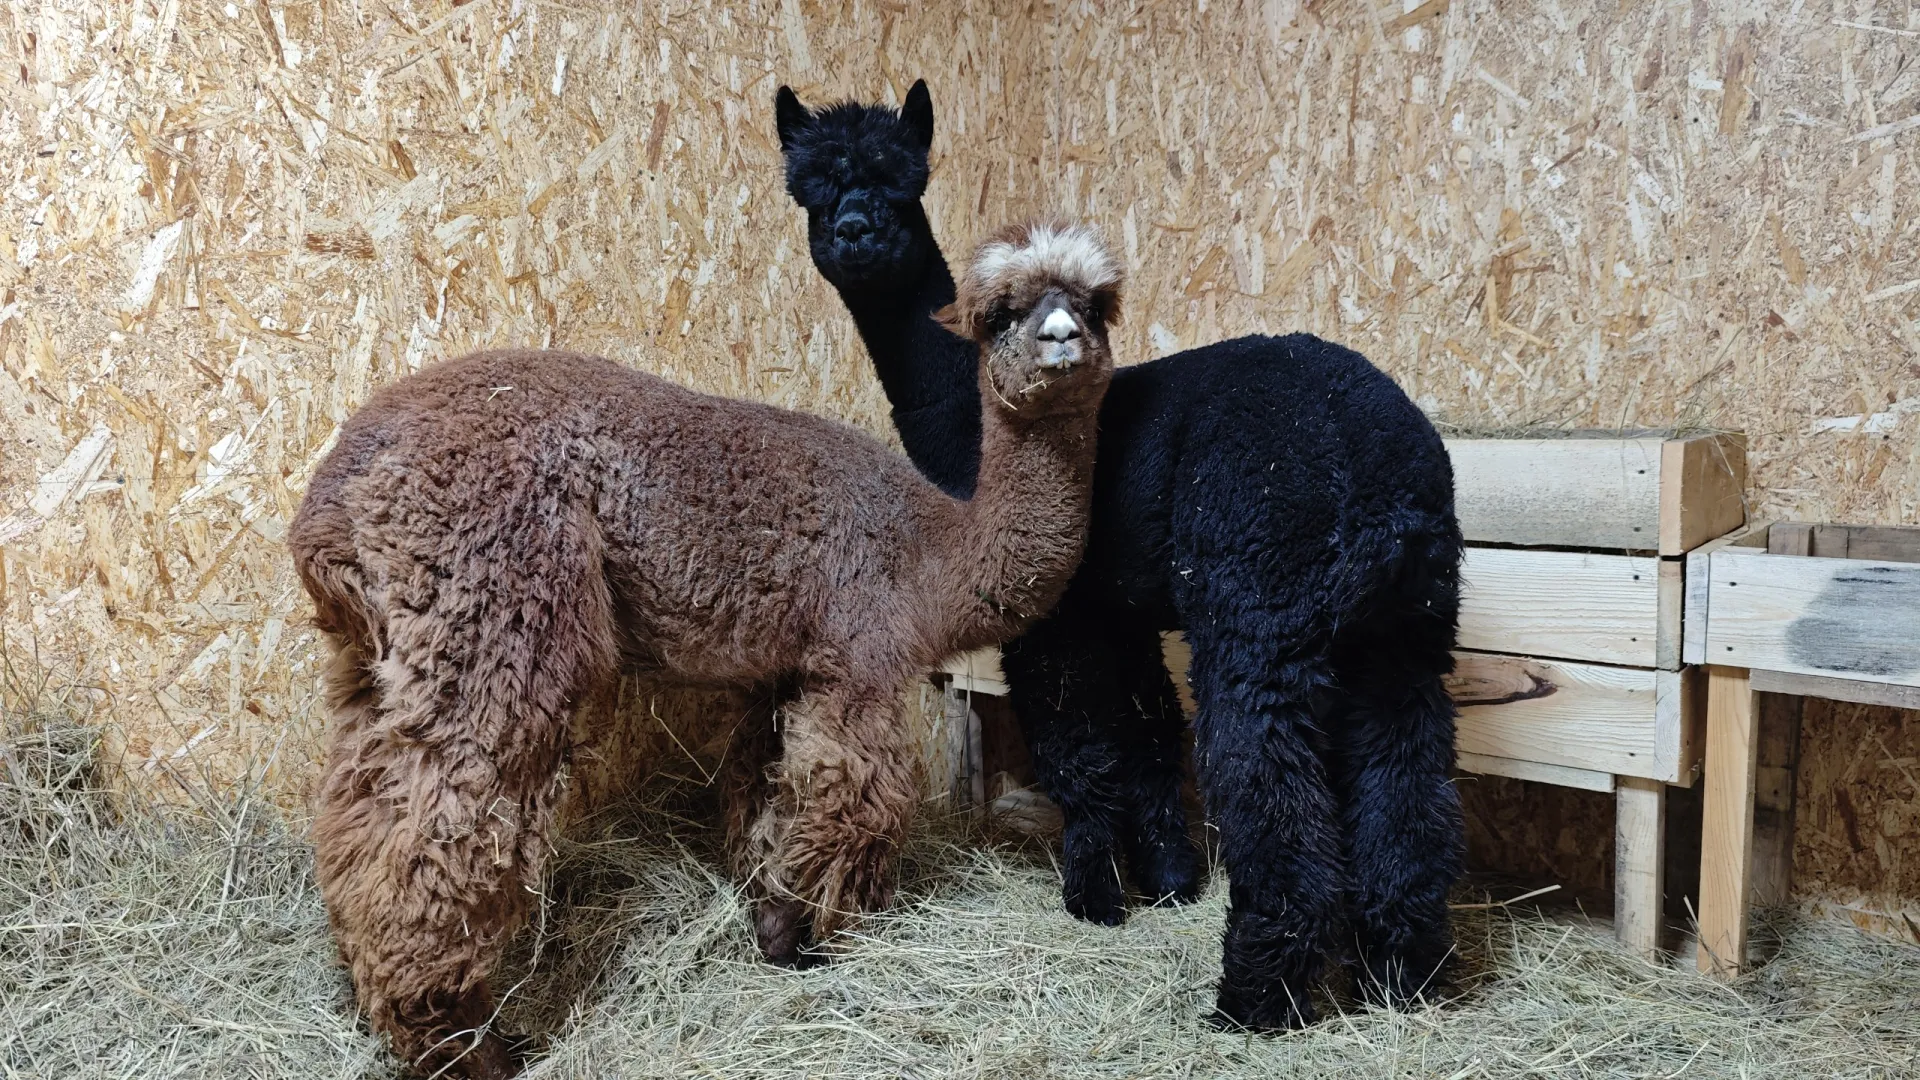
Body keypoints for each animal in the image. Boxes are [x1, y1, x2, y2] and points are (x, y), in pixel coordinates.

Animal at [287, 219, 1123, 1078]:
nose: (1062, 336)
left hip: (380, 651)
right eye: (1000, 314)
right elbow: (855, 802)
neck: (936, 551)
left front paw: (776, 927)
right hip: (498, 610)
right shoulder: (859, 654)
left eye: (1098, 304)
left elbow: (761, 799)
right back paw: (464, 1043)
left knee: (359, 816)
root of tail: (331, 498)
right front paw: (829, 937)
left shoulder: (783, 668)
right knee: (441, 829)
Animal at [777, 81, 1464, 1031]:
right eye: (811, 190)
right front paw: (1169, 880)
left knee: (1269, 786)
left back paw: (1255, 998)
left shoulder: (1056, 618)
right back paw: (1405, 975)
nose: (855, 233)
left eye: (900, 182)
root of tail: (1380, 476)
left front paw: (1095, 897)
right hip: (1409, 627)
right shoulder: (1124, 607)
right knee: (1408, 786)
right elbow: (1147, 734)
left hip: (1260, 607)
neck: (972, 448)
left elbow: (1080, 747)